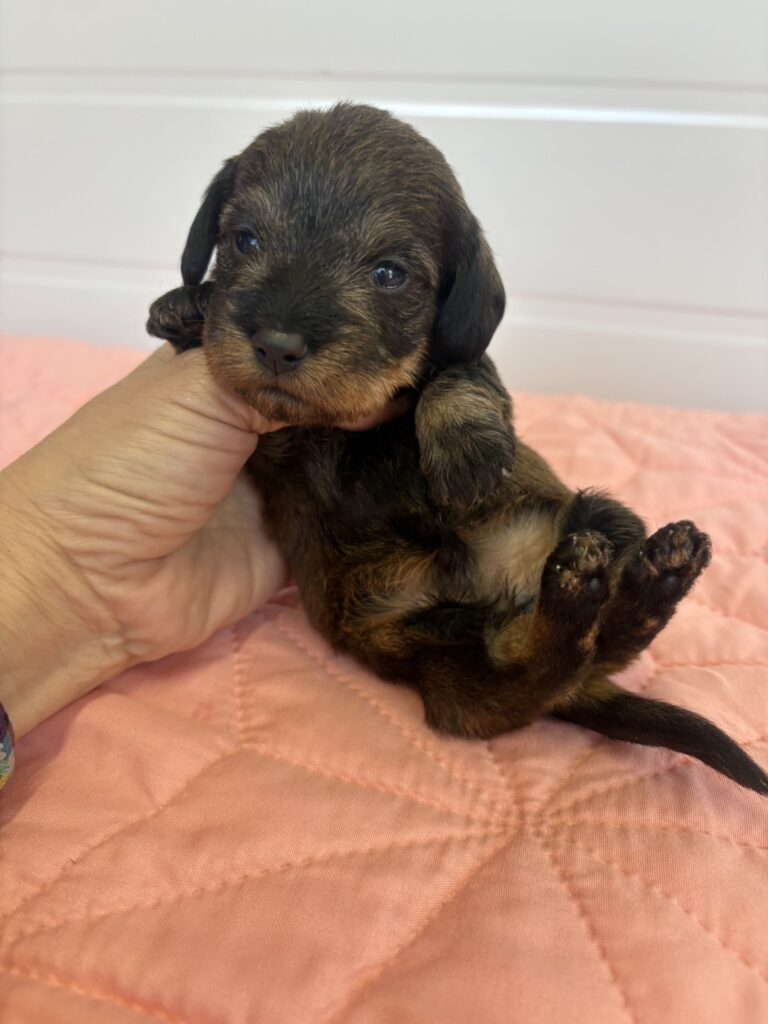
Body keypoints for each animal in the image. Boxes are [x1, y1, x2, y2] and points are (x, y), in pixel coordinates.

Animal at [148, 103, 767, 795]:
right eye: (245, 241)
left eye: (389, 274)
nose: (277, 345)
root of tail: (502, 591)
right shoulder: (270, 445)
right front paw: (184, 305)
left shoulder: (465, 364)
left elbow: (458, 375)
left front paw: (464, 450)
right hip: (440, 666)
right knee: (543, 665)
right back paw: (608, 591)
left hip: (601, 520)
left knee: (583, 649)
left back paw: (644, 576)